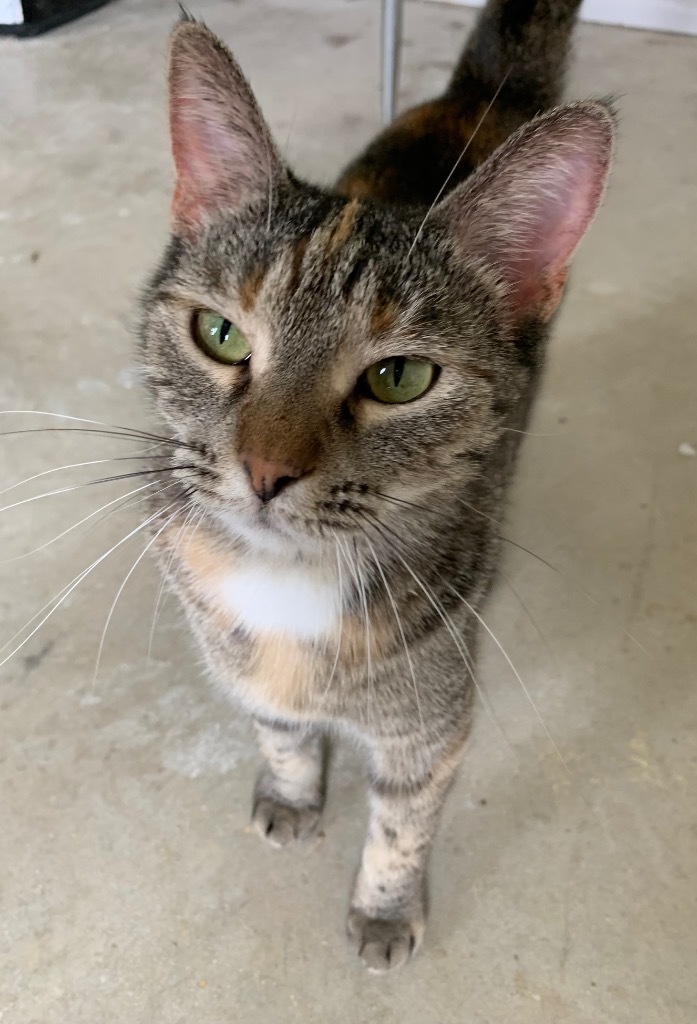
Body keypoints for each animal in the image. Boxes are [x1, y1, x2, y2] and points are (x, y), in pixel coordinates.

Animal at [138, 0, 610, 974]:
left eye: (399, 378)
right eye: (219, 335)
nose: (265, 471)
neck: (287, 589)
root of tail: (478, 93)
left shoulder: (431, 728)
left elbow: (401, 827)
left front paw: (386, 910)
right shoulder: (243, 662)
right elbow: (280, 730)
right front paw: (292, 791)